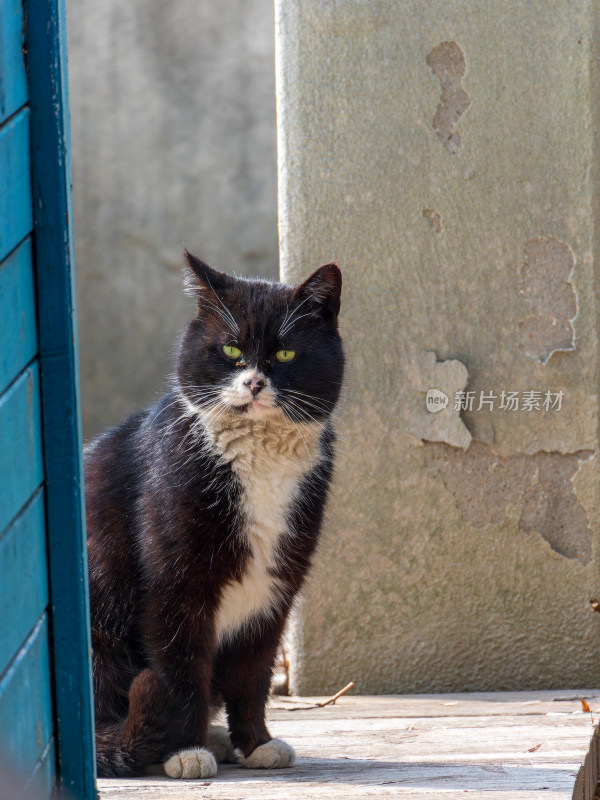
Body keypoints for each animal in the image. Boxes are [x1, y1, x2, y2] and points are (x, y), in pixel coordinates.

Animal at [86, 253, 344, 780]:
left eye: (285, 353)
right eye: (230, 349)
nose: (254, 382)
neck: (260, 461)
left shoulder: (275, 587)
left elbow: (252, 673)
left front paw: (255, 743)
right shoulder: (174, 584)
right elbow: (180, 668)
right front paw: (186, 750)